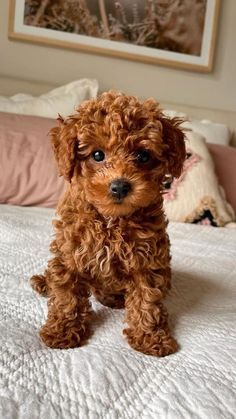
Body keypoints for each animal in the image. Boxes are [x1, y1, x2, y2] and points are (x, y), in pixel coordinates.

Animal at [30, 90, 186, 356]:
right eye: (97, 155)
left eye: (143, 156)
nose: (120, 186)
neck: (112, 220)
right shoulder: (70, 253)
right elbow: (66, 296)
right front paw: (62, 330)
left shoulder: (147, 261)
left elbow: (147, 300)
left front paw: (150, 336)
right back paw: (44, 282)